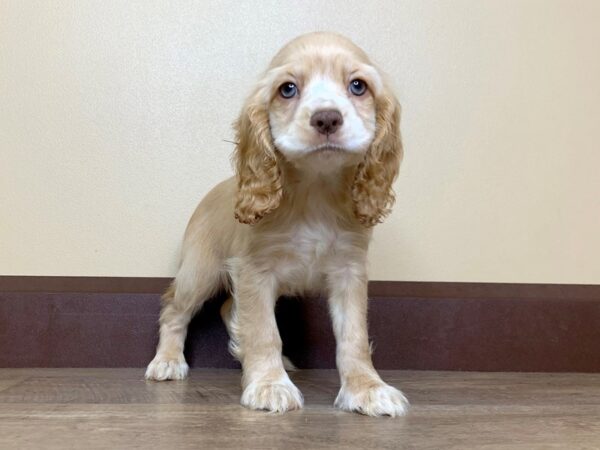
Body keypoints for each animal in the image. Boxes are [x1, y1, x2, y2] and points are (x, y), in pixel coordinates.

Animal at [146, 31, 408, 416]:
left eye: (358, 86)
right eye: (287, 89)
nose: (327, 119)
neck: (315, 190)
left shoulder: (349, 271)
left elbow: (354, 337)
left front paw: (367, 389)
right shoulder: (255, 269)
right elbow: (264, 330)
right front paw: (269, 385)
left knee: (229, 307)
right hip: (200, 271)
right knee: (175, 309)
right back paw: (167, 361)